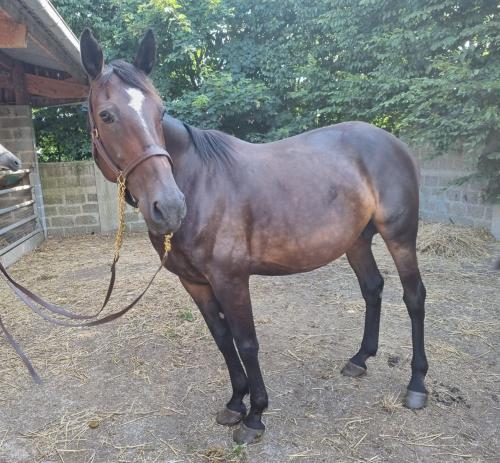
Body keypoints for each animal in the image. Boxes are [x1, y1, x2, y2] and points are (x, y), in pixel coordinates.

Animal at [80, 29, 428, 446]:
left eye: (160, 112)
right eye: (107, 115)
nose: (170, 206)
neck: (200, 182)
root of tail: (394, 142)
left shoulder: (231, 278)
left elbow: (246, 342)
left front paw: (256, 416)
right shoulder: (195, 282)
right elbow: (221, 337)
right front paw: (235, 403)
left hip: (400, 237)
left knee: (414, 297)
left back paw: (417, 385)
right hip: (356, 241)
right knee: (373, 288)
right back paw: (360, 359)